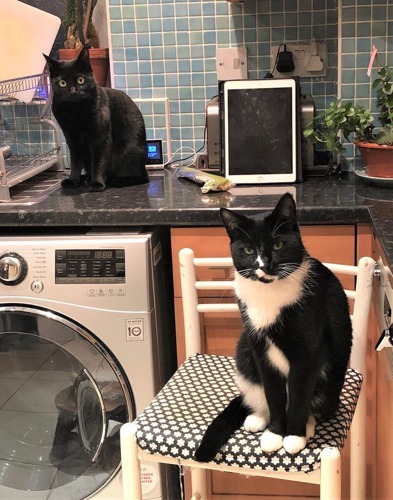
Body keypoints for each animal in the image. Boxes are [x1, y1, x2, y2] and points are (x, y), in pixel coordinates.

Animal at [44, 47, 149, 191]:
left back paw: (113, 180)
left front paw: (97, 182)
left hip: (128, 153)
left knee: (140, 177)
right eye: (62, 83)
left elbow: (99, 161)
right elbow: (75, 162)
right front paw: (73, 180)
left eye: (81, 80)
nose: (73, 91)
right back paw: (85, 178)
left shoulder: (101, 138)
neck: (76, 111)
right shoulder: (72, 139)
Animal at [194, 192, 350, 460]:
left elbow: (298, 395)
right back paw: (257, 419)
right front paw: (275, 433)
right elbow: (273, 394)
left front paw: (294, 436)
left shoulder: (308, 353)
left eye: (278, 245)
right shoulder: (260, 351)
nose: (264, 265)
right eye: (248, 250)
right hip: (244, 348)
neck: (269, 293)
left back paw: (307, 425)